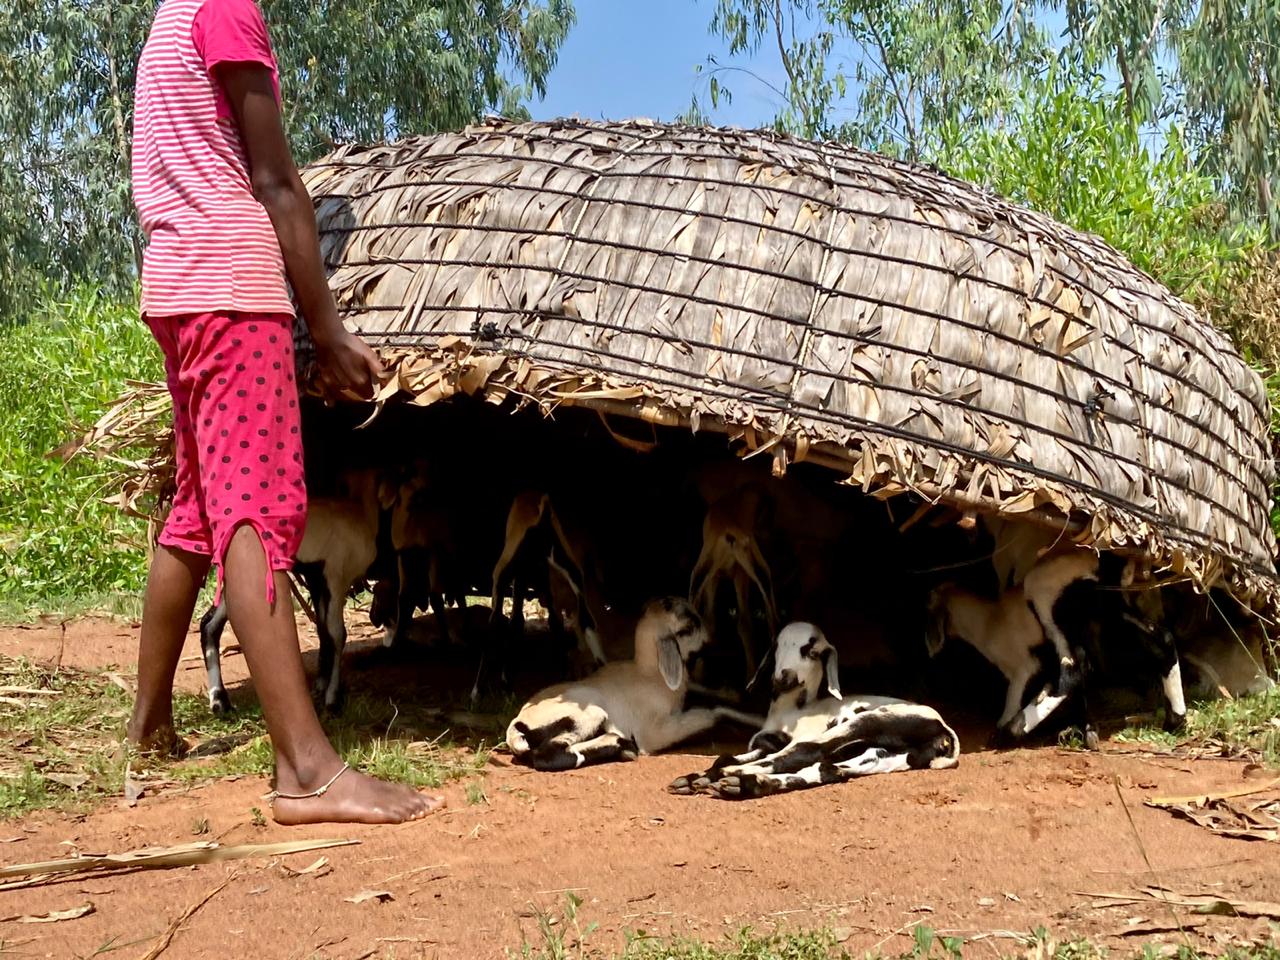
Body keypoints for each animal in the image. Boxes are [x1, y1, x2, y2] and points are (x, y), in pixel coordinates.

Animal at [198, 465, 389, 716]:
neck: (362, 515)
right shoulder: (335, 577)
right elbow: (338, 634)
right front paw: (332, 699)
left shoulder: (318, 581)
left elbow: (323, 630)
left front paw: (321, 685)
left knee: (208, 624)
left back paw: (220, 702)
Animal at [501, 599, 757, 773]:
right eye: (688, 628)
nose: (719, 638)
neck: (649, 674)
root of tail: (517, 725)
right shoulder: (654, 732)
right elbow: (713, 712)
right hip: (588, 713)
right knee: (550, 754)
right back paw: (619, 744)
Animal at [670, 619, 962, 798]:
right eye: (778, 647)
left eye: (810, 652)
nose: (784, 677)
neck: (792, 712)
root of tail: (944, 731)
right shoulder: (765, 744)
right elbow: (728, 756)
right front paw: (697, 778)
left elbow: (746, 758)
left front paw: (708, 777)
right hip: (884, 756)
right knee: (827, 770)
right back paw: (744, 785)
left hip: (864, 723)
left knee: (808, 754)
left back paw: (732, 780)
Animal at [926, 547, 1182, 742]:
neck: (988, 620)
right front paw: (1085, 729)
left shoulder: (1021, 668)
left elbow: (1016, 697)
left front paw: (1006, 723)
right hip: (1110, 607)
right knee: (1164, 638)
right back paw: (1175, 719)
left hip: (1049, 604)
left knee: (1072, 669)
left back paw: (1015, 728)